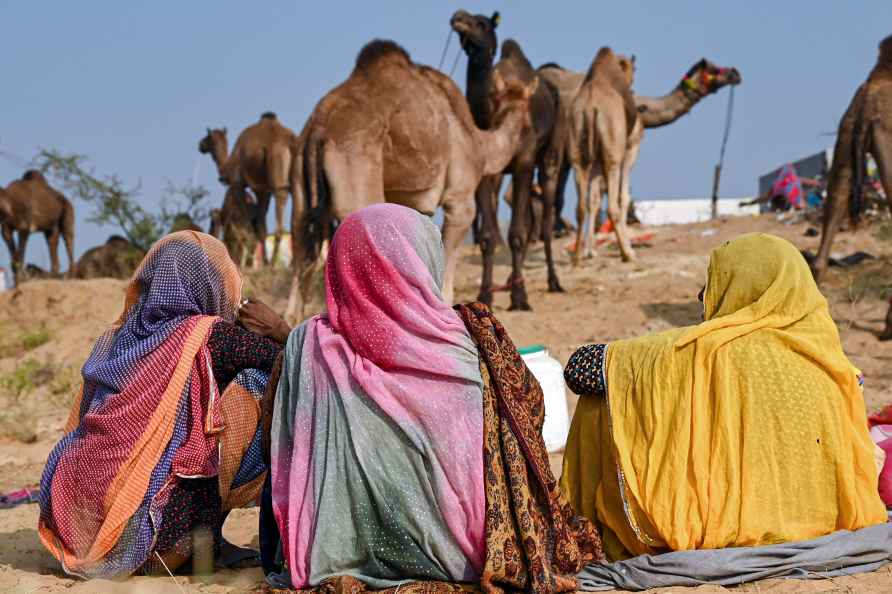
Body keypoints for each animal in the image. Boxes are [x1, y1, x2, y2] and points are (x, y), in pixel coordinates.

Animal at [198, 112, 296, 264]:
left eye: (207, 138)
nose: (200, 145)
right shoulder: (262, 189)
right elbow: (261, 228)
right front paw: (263, 262)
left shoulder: (238, 184)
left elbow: (246, 231)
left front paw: (250, 263)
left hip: (278, 174)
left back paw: (274, 262)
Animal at [452, 10, 564, 310]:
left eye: (482, 23)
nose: (458, 17)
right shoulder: (485, 171)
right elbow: (489, 235)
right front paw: (485, 294)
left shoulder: (524, 163)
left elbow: (517, 233)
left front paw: (520, 297)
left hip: (549, 159)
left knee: (544, 222)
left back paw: (553, 282)